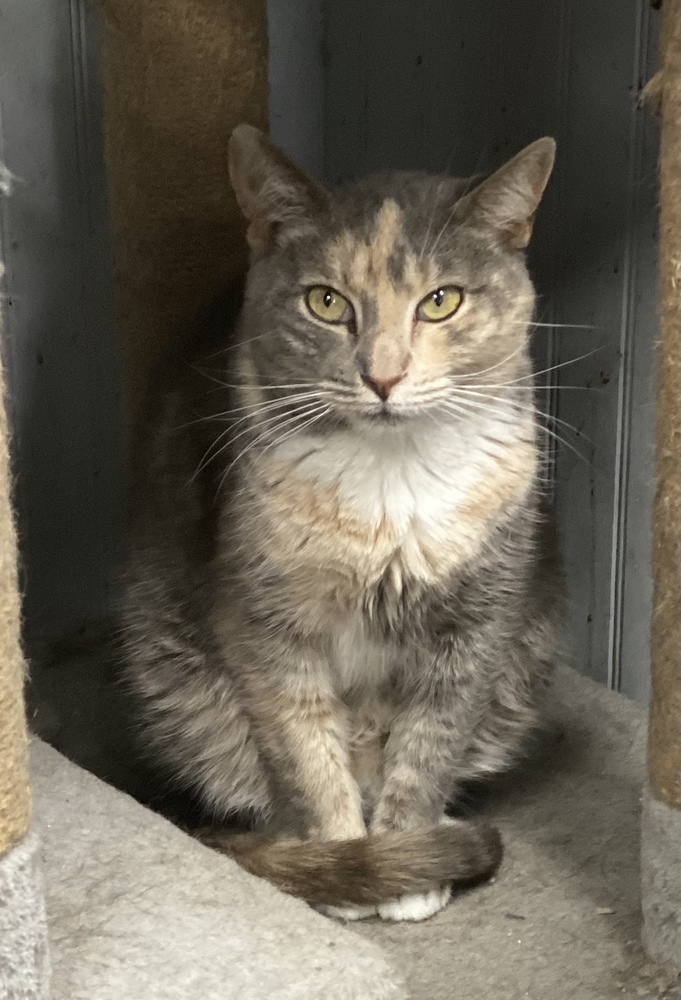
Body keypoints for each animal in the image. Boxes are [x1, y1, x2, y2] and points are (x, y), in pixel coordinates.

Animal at [121, 125, 564, 920]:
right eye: (326, 302)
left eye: (441, 301)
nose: (382, 375)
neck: (391, 488)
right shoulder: (266, 624)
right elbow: (304, 753)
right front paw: (349, 859)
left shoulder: (478, 623)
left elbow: (429, 745)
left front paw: (408, 861)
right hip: (174, 672)